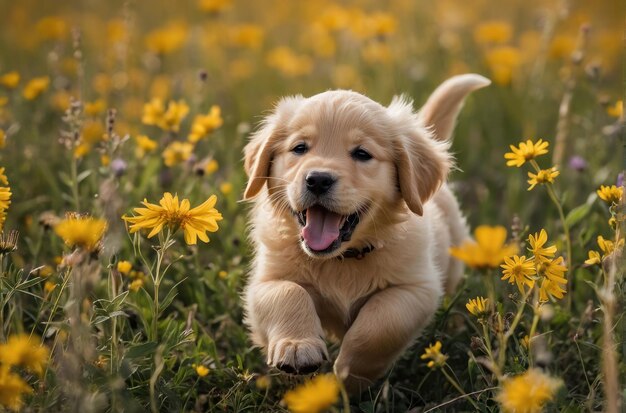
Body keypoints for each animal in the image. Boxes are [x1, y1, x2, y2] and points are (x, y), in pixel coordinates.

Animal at [241, 74, 490, 392]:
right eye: (299, 148)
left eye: (362, 154)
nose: (317, 179)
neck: (342, 259)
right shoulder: (264, 280)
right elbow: (288, 292)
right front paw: (297, 348)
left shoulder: (417, 288)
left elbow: (380, 322)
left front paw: (350, 374)